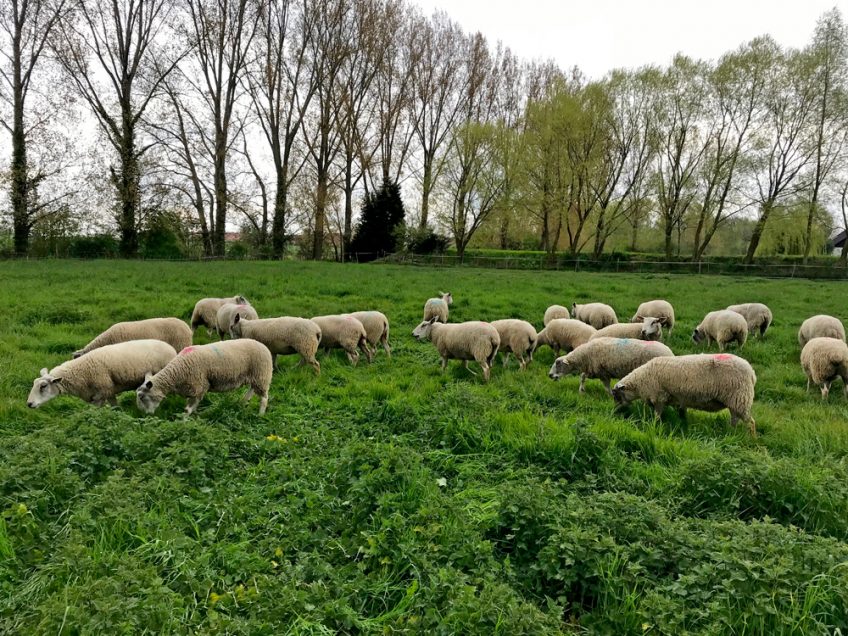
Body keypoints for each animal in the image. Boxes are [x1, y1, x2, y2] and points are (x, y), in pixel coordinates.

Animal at [27, 340, 176, 410]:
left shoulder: (102, 392)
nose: (29, 404)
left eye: (43, 386)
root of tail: (170, 347)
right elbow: (115, 408)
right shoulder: (106, 392)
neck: (81, 372)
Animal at [135, 340, 272, 414]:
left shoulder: (199, 385)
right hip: (255, 375)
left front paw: (183, 421)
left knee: (264, 398)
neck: (177, 372)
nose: (145, 414)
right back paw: (243, 402)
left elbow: (188, 409)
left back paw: (260, 414)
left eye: (141, 397)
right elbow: (192, 406)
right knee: (252, 389)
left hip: (262, 374)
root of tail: (263, 346)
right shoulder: (193, 388)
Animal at [548, 336, 676, 396]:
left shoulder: (603, 372)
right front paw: (582, 390)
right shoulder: (591, 369)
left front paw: (610, 396)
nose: (549, 375)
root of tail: (670, 353)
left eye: (558, 363)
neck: (584, 356)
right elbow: (582, 377)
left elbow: (606, 386)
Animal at [608, 356, 756, 434]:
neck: (640, 382)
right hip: (735, 401)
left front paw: (655, 426)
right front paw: (683, 422)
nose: (614, 412)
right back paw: (731, 432)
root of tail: (752, 373)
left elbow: (657, 415)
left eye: (616, 396)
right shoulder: (676, 398)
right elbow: (680, 412)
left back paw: (751, 438)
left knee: (750, 422)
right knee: (735, 419)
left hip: (740, 398)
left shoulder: (659, 396)